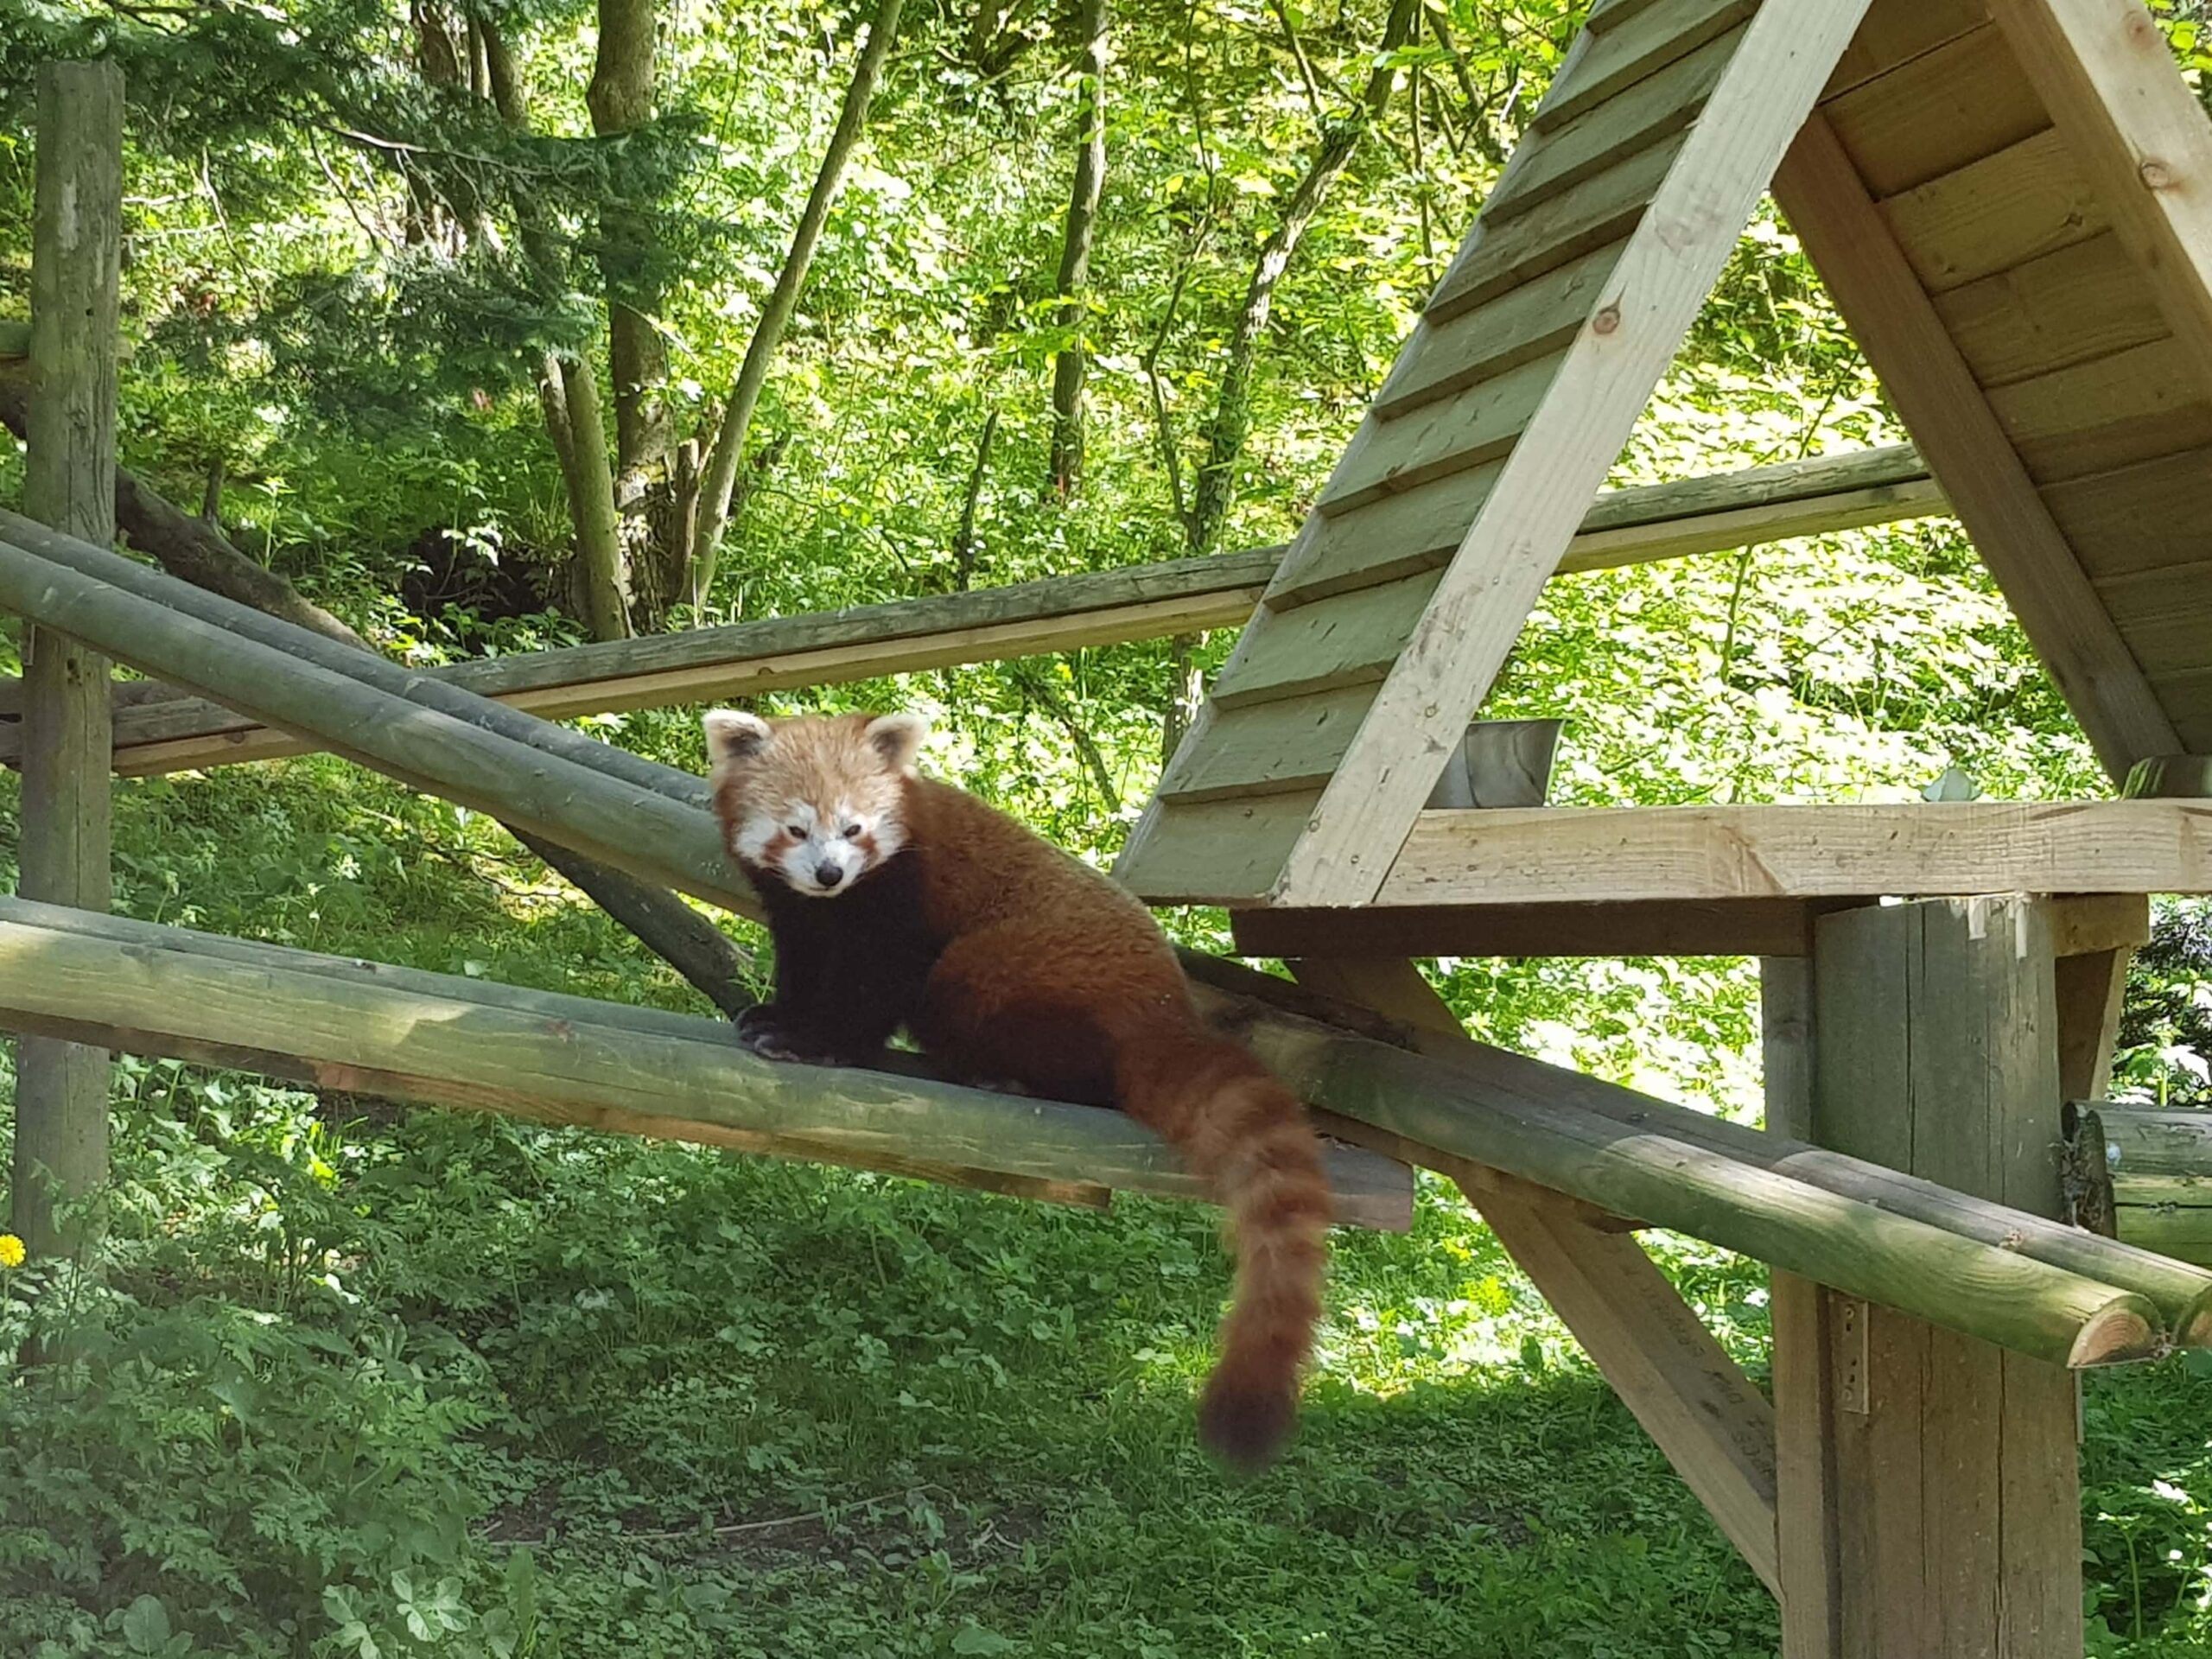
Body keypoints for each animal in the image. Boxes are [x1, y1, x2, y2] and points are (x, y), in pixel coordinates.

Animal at [708, 708, 1327, 1478]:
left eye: (854, 829)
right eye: (795, 829)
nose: (828, 873)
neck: (840, 900)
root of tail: (1165, 1012)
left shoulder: (904, 898)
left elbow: (875, 979)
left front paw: (819, 1041)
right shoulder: (799, 914)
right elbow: (801, 958)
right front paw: (776, 1016)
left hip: (1016, 970)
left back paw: (998, 1071)